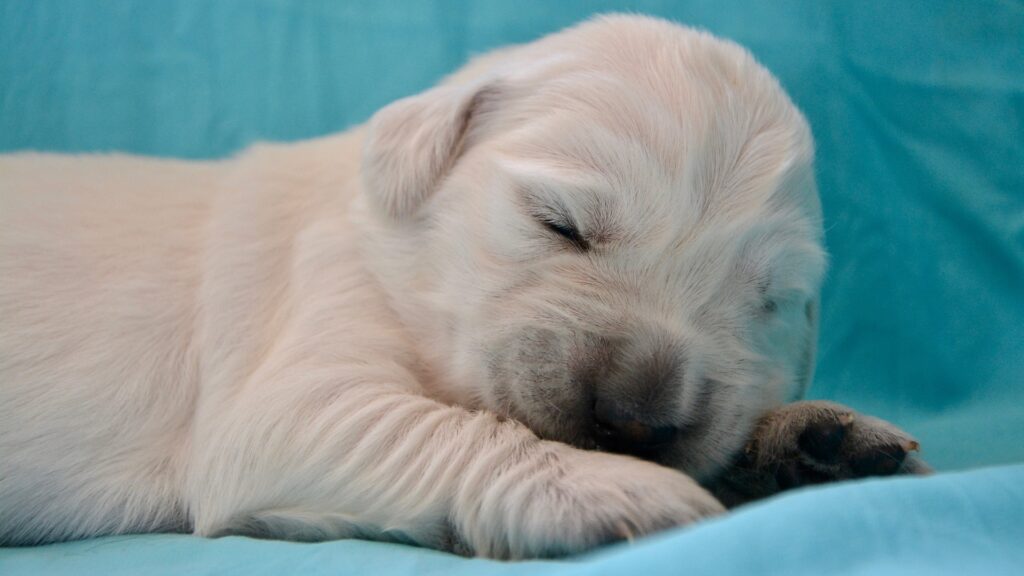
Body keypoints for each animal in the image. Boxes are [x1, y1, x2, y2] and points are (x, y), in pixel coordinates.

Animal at [0, 14, 929, 557]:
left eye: (769, 301)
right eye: (560, 223)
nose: (634, 424)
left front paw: (815, 440)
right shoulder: (295, 382)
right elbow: (449, 427)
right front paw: (614, 484)